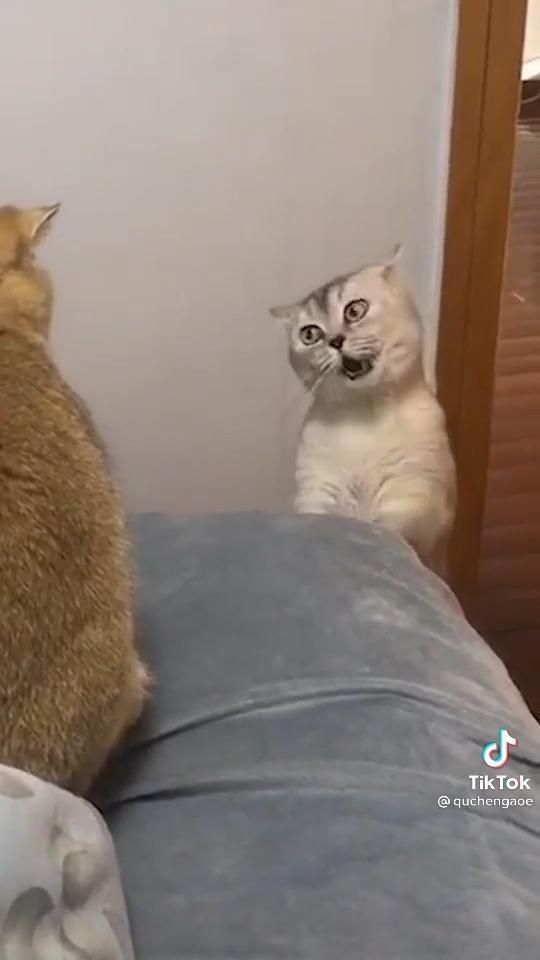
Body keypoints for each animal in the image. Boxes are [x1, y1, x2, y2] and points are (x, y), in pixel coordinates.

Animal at [270, 249, 456, 568]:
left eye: (355, 310)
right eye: (310, 334)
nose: (335, 340)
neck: (363, 420)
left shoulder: (416, 491)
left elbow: (390, 527)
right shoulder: (316, 490)